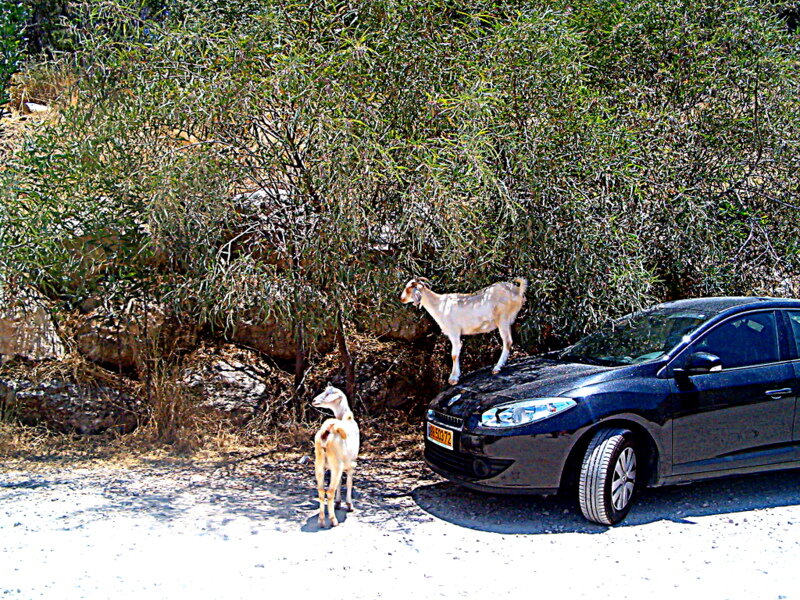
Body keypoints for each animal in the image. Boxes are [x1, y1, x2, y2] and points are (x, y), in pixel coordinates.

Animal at [312, 386, 360, 528]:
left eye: (328, 393)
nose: (314, 400)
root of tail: (328, 430)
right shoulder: (351, 465)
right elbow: (349, 482)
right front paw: (349, 505)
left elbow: (339, 483)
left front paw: (338, 503)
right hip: (336, 465)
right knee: (329, 491)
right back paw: (333, 520)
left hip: (319, 465)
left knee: (321, 491)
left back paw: (321, 520)